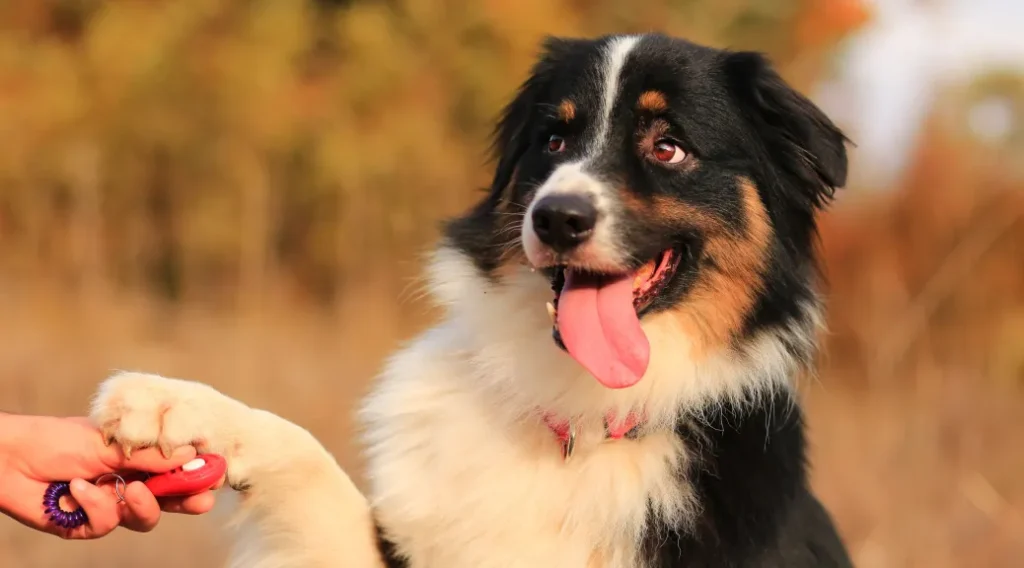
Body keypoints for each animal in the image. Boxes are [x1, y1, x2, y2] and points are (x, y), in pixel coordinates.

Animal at [88, 33, 856, 564]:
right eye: (554, 139)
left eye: (668, 147)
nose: (557, 219)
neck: (583, 420)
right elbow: (306, 454)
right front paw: (172, 403)